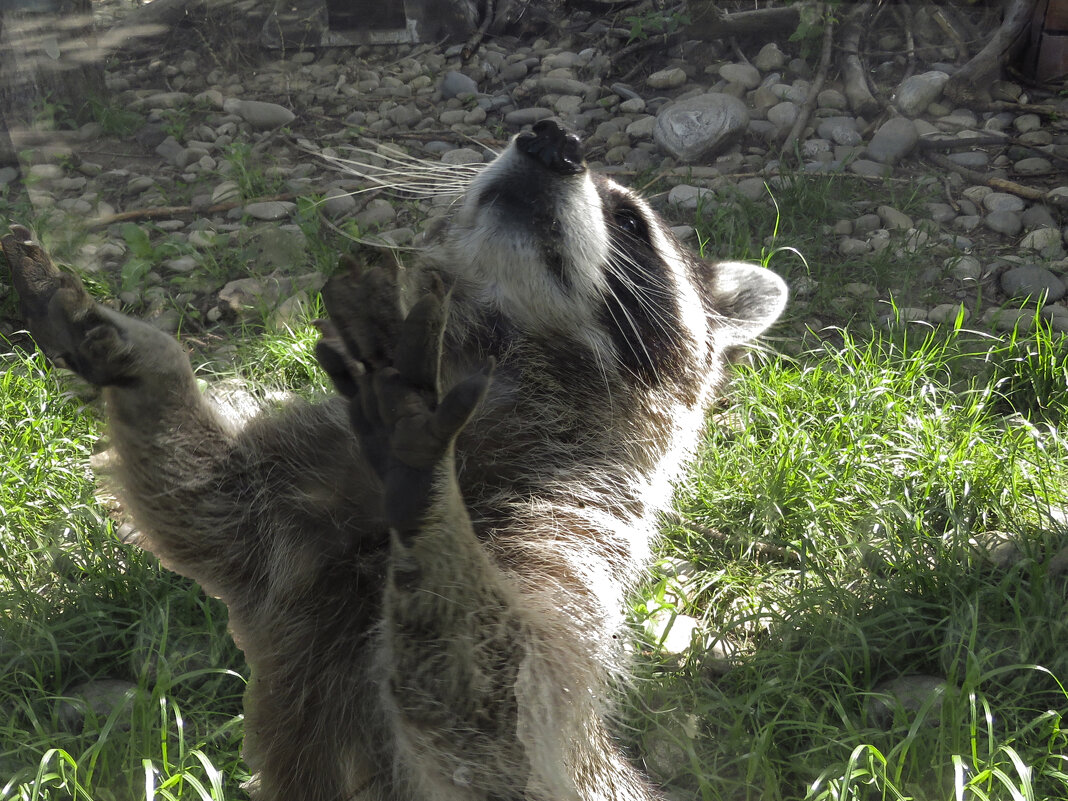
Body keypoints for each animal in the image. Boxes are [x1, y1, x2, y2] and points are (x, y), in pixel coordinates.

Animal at [0, 119, 786, 801]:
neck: (508, 350)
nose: (552, 138)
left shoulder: (579, 525)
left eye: (628, 221)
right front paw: (143, 354)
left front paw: (430, 491)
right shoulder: (305, 491)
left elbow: (501, 716)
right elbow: (206, 503)